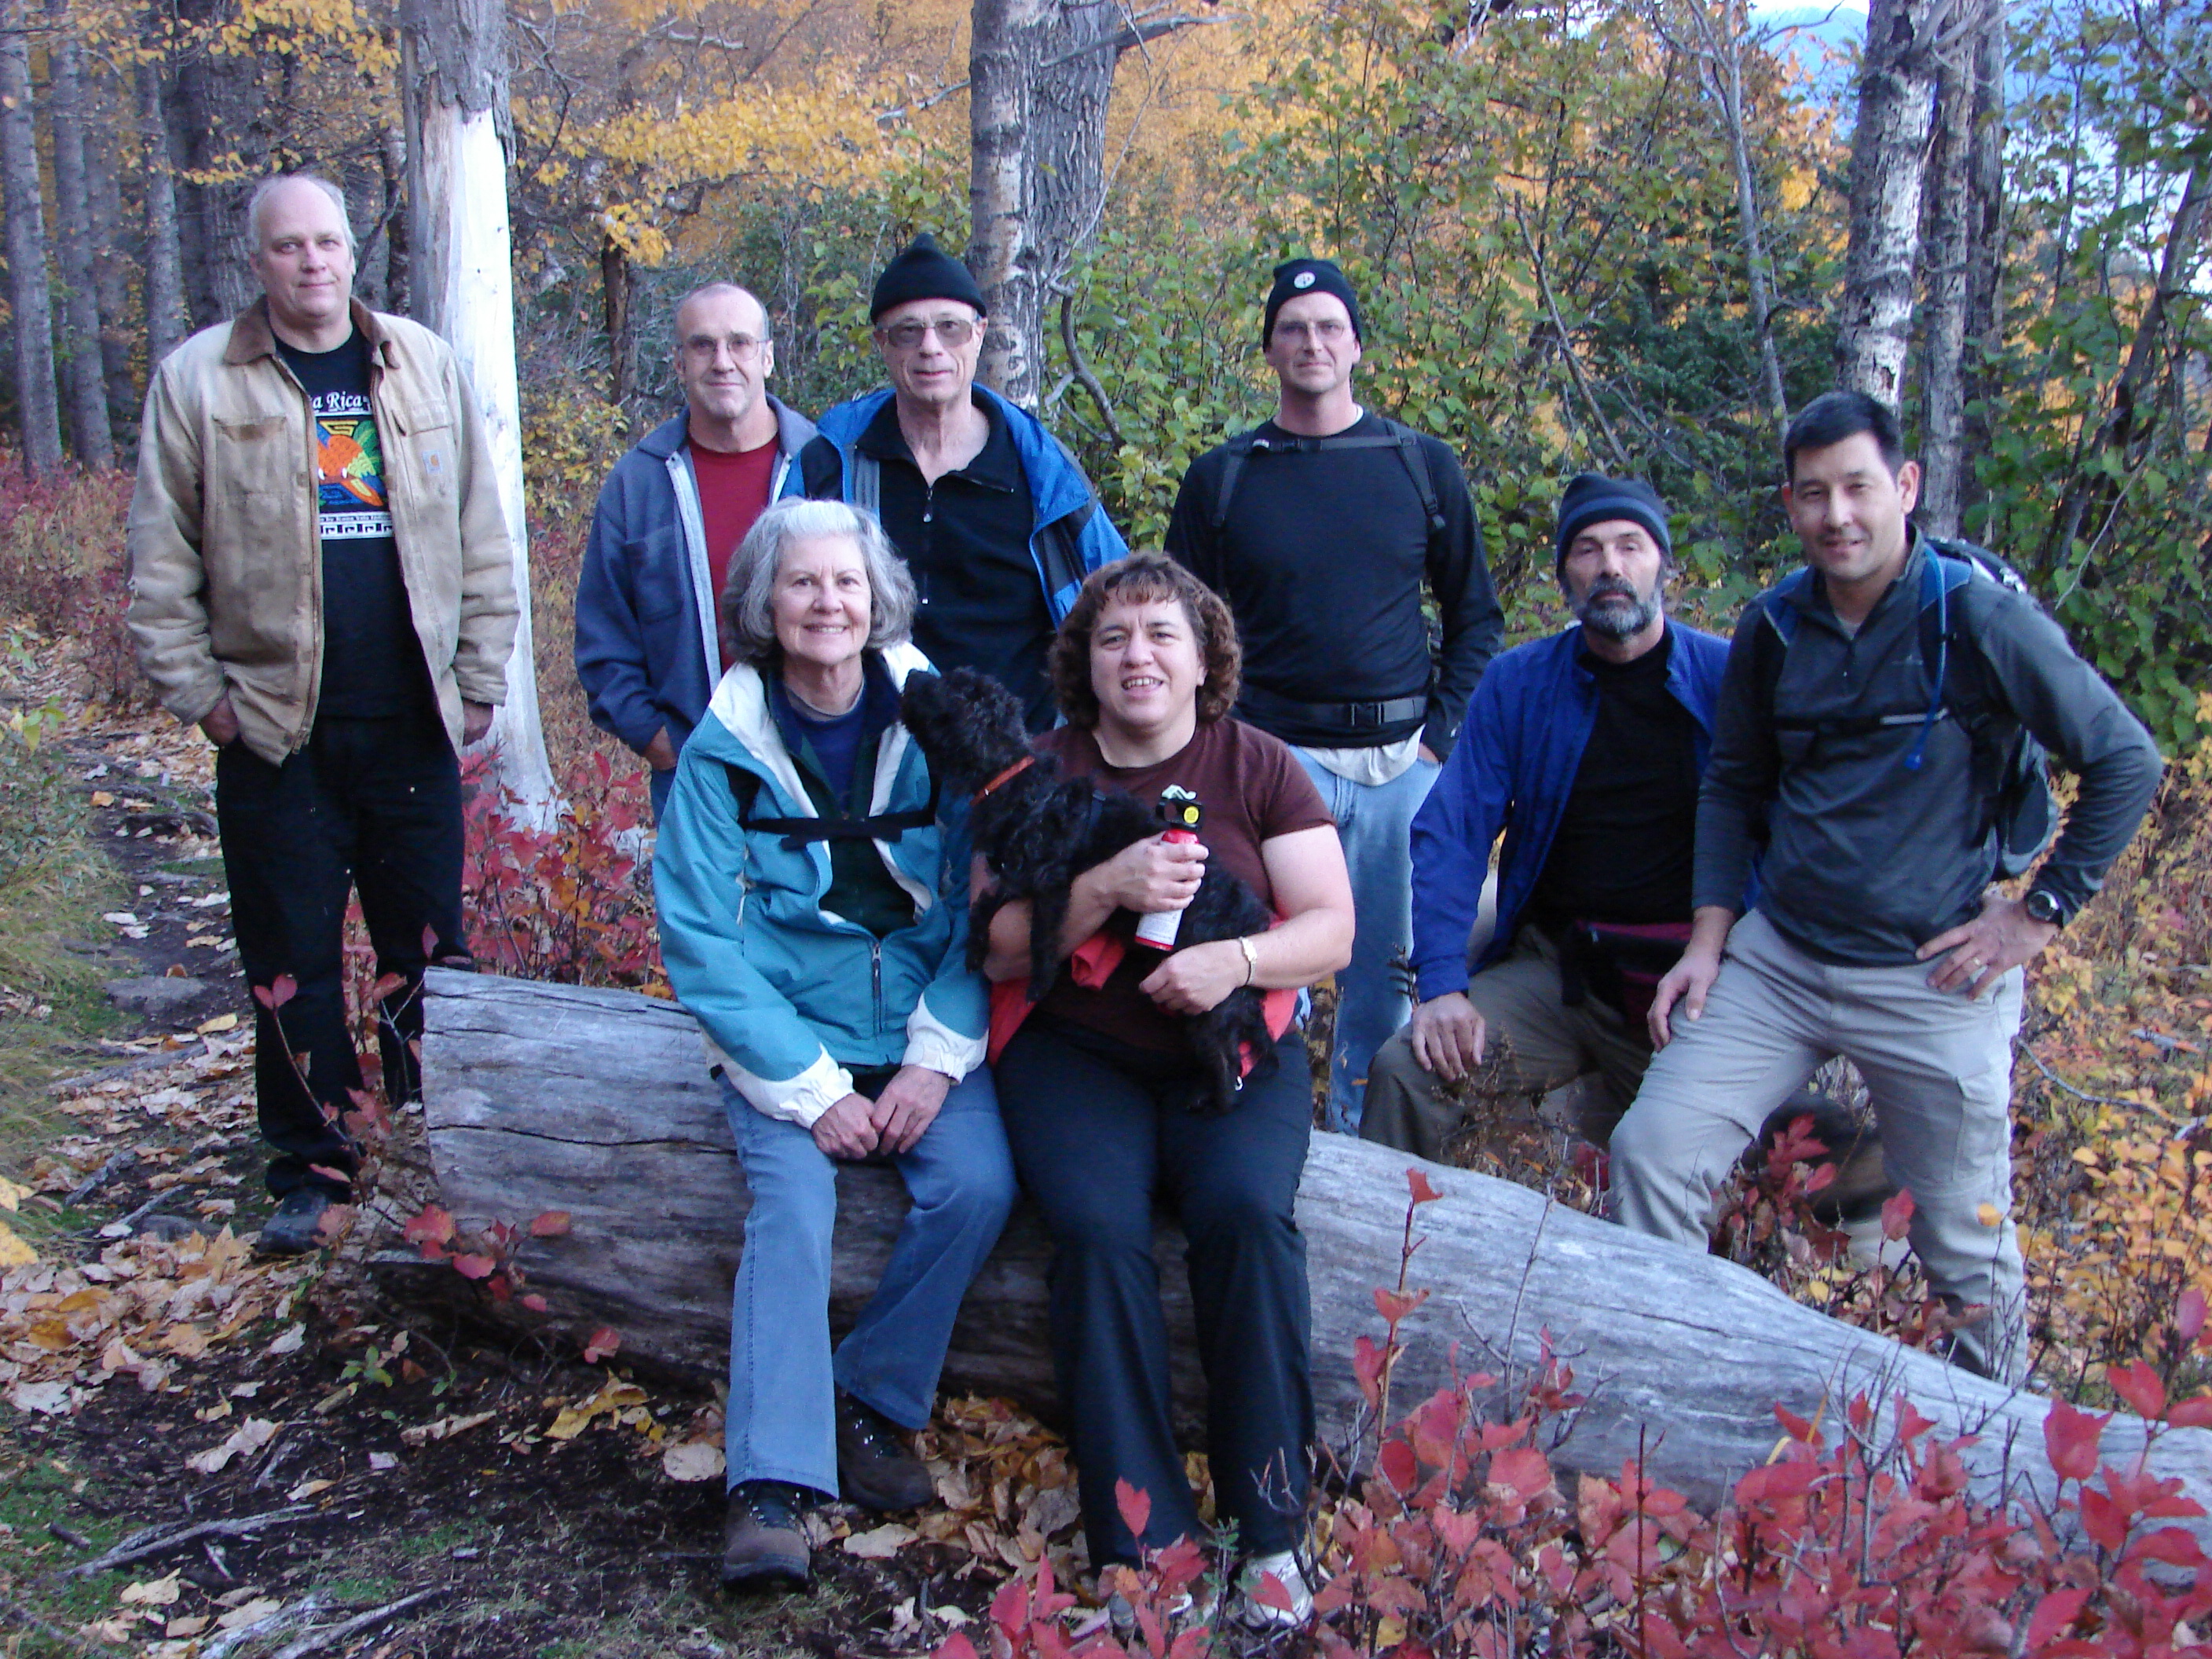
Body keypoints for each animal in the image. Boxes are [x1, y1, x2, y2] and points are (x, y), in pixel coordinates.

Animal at [899, 668, 1276, 1115]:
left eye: (953, 688)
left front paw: (1039, 983)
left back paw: (1211, 1102)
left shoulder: (1050, 883)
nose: (912, 674)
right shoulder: (1021, 875)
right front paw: (975, 949)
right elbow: (986, 904)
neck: (1020, 785)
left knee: (1227, 1065)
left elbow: (1040, 937)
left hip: (1211, 1008)